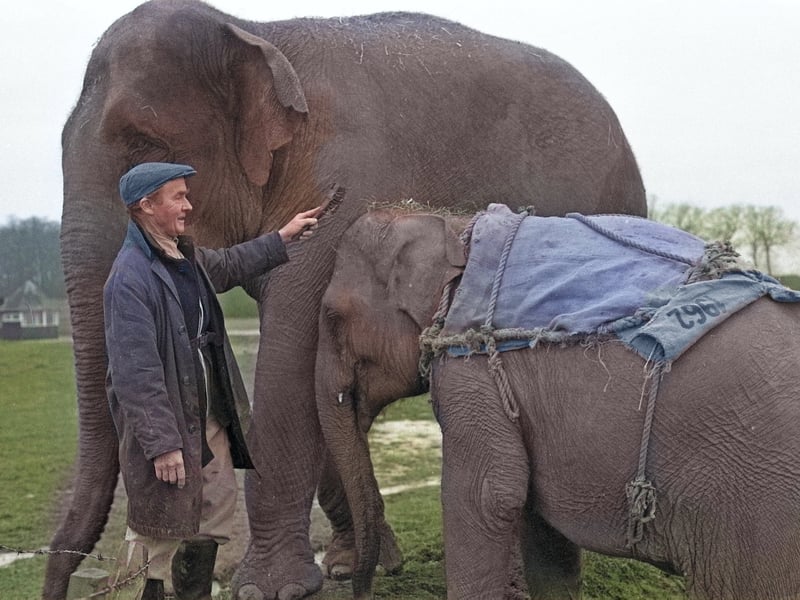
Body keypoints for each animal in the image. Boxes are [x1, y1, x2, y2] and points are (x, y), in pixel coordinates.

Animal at [46, 1, 647, 598]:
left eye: (142, 144)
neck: (257, 34)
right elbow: (316, 379)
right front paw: (347, 566)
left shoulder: (349, 178)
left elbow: (290, 362)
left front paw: (269, 589)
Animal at [317, 205, 800, 600]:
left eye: (331, 318)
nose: (366, 584)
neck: (455, 226)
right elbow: (536, 517)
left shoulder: (471, 373)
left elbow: (487, 496)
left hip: (756, 507)